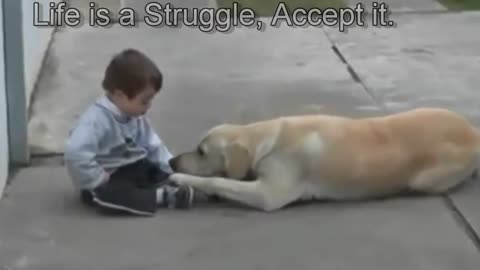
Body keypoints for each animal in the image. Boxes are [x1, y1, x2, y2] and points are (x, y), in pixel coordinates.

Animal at [167, 107, 478, 211]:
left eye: (201, 151)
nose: (171, 162)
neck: (264, 138)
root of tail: (473, 131)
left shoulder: (269, 195)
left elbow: (219, 181)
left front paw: (181, 177)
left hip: (426, 180)